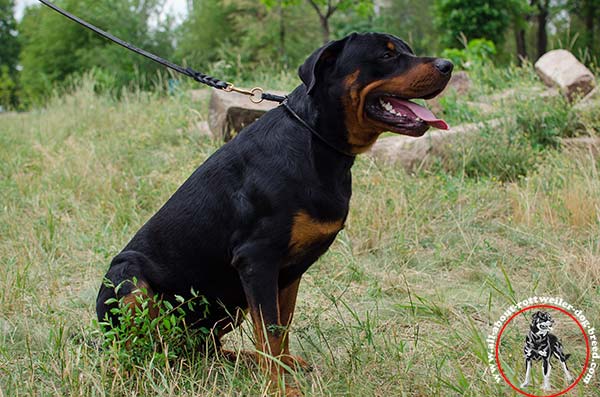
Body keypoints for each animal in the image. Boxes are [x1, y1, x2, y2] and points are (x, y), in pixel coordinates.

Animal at [96, 31, 452, 392]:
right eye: (386, 55)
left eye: (407, 50)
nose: (447, 65)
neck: (316, 142)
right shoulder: (257, 260)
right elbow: (268, 332)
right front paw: (279, 388)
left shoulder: (288, 272)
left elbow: (280, 328)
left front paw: (284, 368)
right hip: (128, 281)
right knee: (130, 353)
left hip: (230, 305)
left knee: (204, 347)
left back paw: (240, 359)